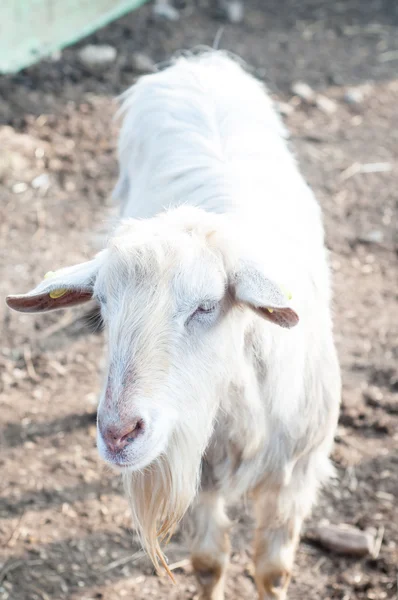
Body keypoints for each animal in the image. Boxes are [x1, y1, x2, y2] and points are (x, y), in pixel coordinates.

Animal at [7, 52, 338, 600]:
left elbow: (272, 571)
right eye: (102, 303)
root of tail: (200, 60)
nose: (118, 433)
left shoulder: (297, 475)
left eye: (206, 306)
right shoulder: (196, 472)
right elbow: (207, 561)